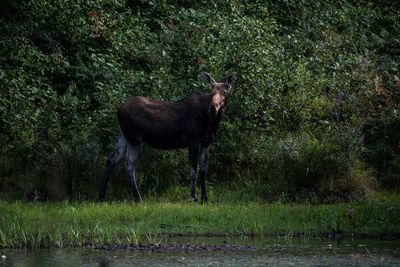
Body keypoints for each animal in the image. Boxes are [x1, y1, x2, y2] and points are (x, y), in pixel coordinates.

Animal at [99, 72, 236, 204]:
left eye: (225, 92)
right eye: (212, 91)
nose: (213, 106)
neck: (211, 122)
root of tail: (118, 110)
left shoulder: (206, 143)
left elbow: (203, 172)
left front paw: (205, 199)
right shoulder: (194, 141)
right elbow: (193, 172)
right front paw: (193, 198)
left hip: (123, 136)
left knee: (111, 159)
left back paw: (102, 196)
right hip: (134, 138)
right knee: (129, 165)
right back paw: (138, 198)